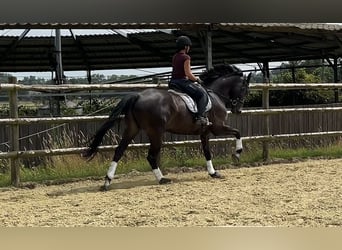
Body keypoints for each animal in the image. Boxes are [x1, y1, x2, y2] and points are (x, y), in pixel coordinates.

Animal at [82, 64, 251, 189]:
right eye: (244, 89)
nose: (238, 110)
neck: (214, 94)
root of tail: (138, 96)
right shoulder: (217, 128)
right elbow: (238, 132)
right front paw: (237, 154)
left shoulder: (205, 132)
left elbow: (207, 152)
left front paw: (213, 173)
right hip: (156, 133)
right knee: (150, 156)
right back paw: (162, 179)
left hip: (132, 129)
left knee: (119, 151)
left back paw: (107, 181)